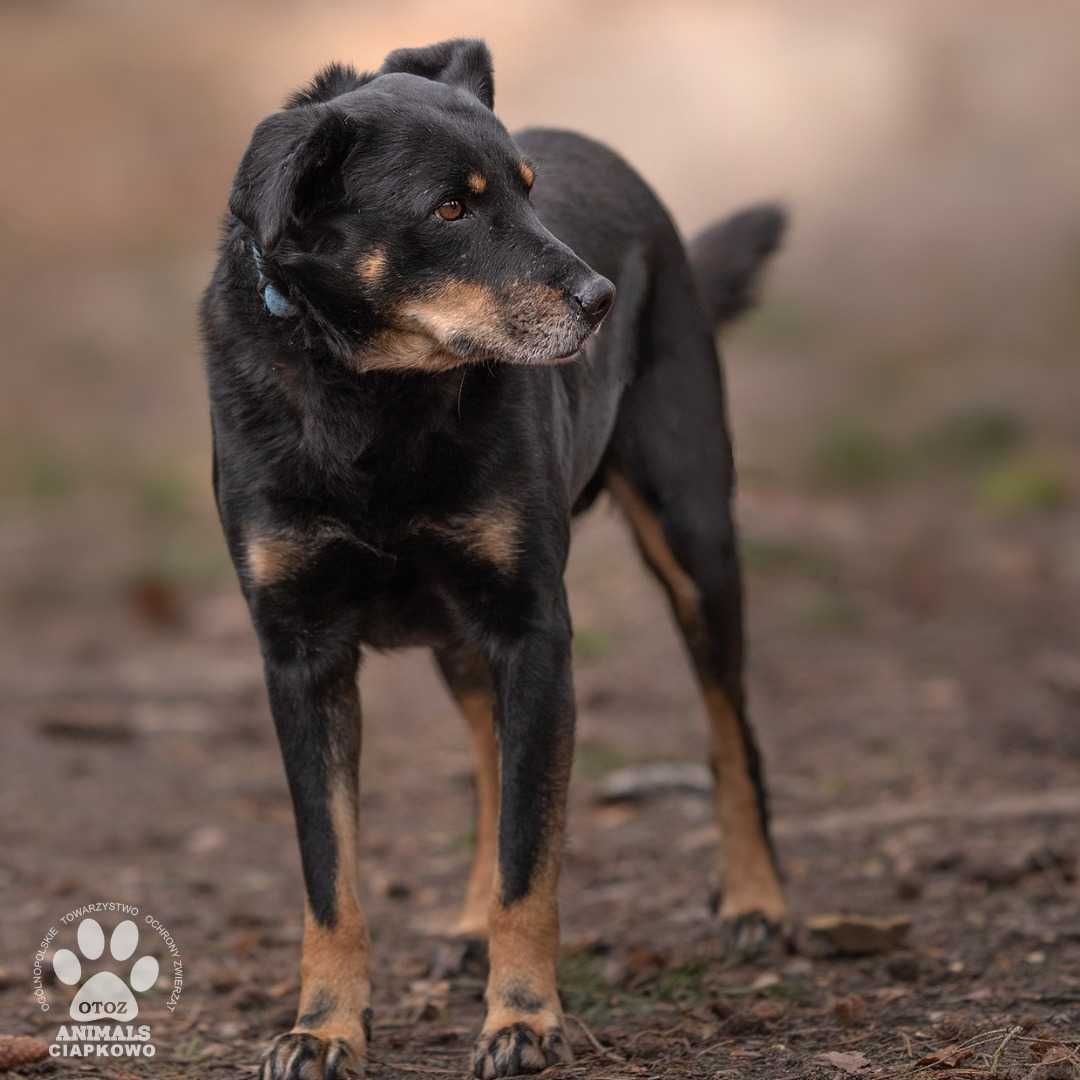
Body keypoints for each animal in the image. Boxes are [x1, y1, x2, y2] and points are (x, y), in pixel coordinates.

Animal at [203, 35, 790, 1080]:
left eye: (527, 192)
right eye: (450, 209)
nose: (601, 300)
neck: (376, 397)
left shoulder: (533, 632)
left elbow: (532, 849)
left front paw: (522, 1018)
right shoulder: (301, 656)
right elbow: (331, 874)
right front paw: (325, 1027)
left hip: (693, 538)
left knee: (729, 732)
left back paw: (756, 898)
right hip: (457, 633)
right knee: (486, 754)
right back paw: (469, 921)